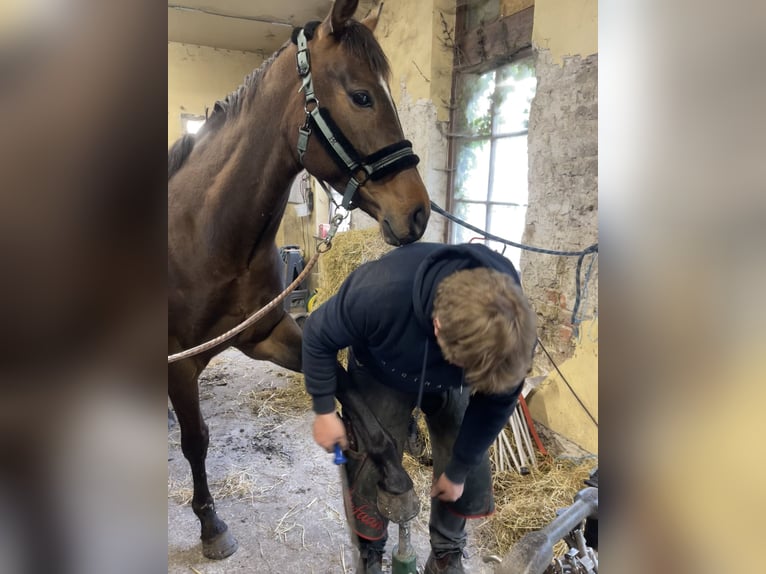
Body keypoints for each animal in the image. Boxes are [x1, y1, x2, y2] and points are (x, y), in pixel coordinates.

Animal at [169, 0, 432, 560]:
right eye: (361, 96)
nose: (418, 212)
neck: (203, 236)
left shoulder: (268, 334)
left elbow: (343, 379)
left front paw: (394, 476)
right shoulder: (177, 366)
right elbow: (195, 440)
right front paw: (211, 525)